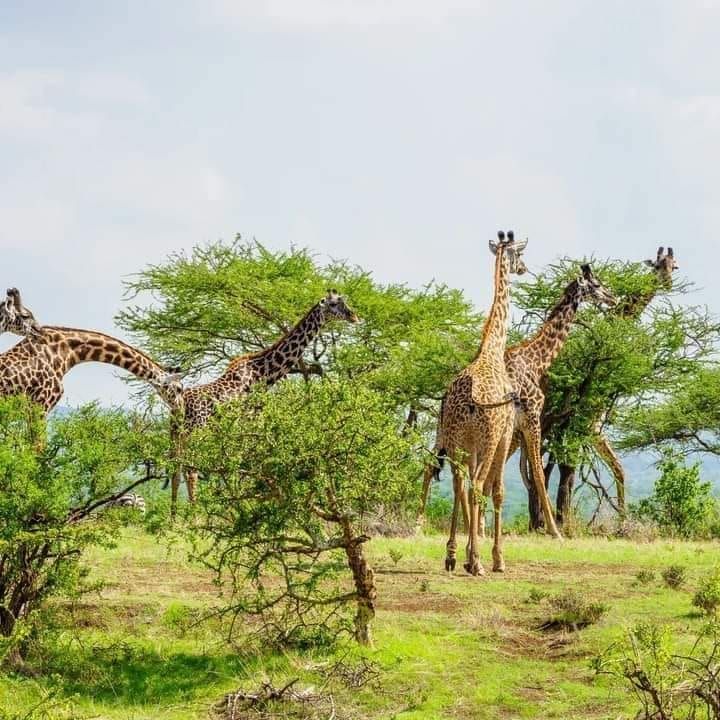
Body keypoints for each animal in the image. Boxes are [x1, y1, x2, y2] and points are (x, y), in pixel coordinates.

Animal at [169, 288, 360, 512]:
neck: (263, 373)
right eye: (333, 304)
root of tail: (179, 405)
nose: (354, 316)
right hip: (196, 432)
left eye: (343, 301)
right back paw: (194, 515)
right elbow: (246, 467)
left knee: (175, 471)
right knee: (191, 471)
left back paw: (174, 518)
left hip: (176, 433)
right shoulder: (252, 418)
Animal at [434, 233, 528, 576]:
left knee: (459, 484)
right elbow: (498, 492)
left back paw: (452, 555)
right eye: (519, 255)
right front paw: (497, 558)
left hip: (456, 442)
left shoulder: (469, 444)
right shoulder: (505, 435)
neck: (492, 350)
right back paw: (478, 562)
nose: (523, 268)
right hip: (487, 440)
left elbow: (466, 490)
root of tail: (470, 400)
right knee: (475, 485)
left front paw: (462, 552)